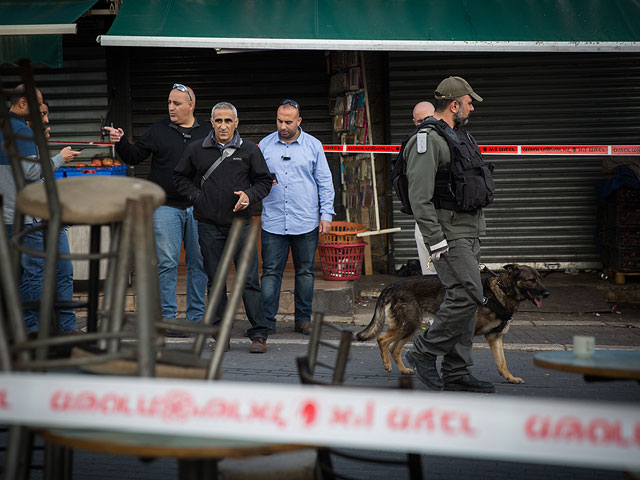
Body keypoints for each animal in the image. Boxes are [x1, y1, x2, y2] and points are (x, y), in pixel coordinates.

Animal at [358, 264, 548, 384]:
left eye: (539, 278)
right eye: (531, 280)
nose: (547, 293)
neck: (501, 291)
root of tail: (393, 284)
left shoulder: (495, 337)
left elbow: (502, 362)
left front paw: (510, 378)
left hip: (411, 327)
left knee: (394, 348)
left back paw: (404, 370)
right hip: (407, 325)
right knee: (382, 340)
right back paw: (387, 365)